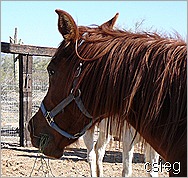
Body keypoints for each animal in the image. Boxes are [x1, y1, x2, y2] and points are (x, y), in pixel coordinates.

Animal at [28, 9, 187, 176]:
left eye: (51, 70)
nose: (31, 127)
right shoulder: (128, 139)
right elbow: (127, 170)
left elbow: (151, 171)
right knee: (92, 154)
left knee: (99, 151)